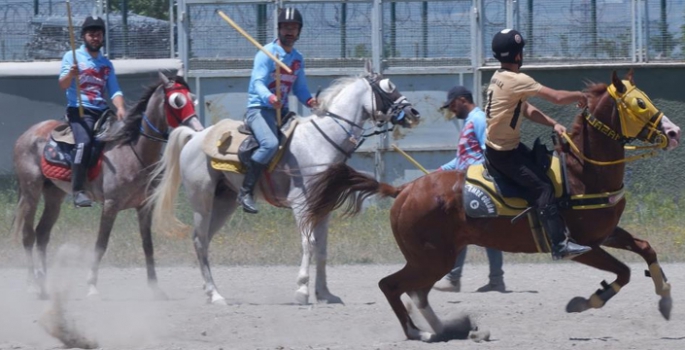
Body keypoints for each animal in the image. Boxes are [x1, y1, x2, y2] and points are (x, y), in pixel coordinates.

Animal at [11, 67, 203, 300]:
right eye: (177, 100)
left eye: (192, 98)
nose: (197, 128)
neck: (132, 149)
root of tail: (27, 135)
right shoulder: (111, 205)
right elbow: (101, 244)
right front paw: (92, 286)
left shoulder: (144, 207)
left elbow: (147, 245)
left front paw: (155, 288)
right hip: (31, 191)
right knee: (28, 235)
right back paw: (32, 285)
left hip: (54, 195)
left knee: (42, 234)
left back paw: (45, 283)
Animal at [148, 61, 420, 304]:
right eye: (388, 87)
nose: (413, 114)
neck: (320, 142)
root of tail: (195, 136)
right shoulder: (301, 205)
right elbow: (308, 244)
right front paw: (302, 290)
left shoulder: (324, 208)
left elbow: (322, 248)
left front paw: (325, 293)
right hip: (202, 202)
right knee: (199, 240)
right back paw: (215, 295)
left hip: (224, 203)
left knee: (204, 240)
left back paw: (211, 292)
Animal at [304, 70, 680, 342]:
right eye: (640, 103)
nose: (674, 131)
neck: (581, 171)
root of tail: (404, 190)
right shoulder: (582, 246)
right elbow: (624, 271)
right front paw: (586, 302)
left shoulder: (607, 233)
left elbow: (645, 248)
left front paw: (665, 296)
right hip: (431, 257)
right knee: (393, 286)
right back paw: (420, 333)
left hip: (433, 257)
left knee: (416, 292)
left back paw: (449, 329)